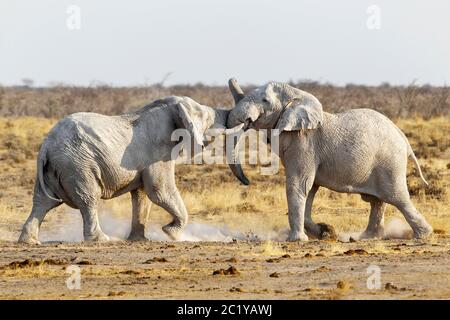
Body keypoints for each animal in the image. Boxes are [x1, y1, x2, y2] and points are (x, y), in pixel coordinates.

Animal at [18, 96, 241, 244]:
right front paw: (171, 233)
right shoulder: (158, 151)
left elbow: (142, 195)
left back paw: (30, 241)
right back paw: (103, 240)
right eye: (206, 118)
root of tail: (46, 146)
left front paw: (139, 240)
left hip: (54, 169)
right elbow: (159, 191)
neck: (170, 106)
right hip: (77, 165)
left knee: (43, 202)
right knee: (88, 199)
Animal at [227, 79, 434, 241]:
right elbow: (309, 189)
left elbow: (299, 185)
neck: (297, 95)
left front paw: (298, 240)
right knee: (378, 201)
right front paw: (325, 232)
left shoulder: (304, 143)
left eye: (265, 100)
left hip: (390, 162)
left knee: (397, 197)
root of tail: (402, 135)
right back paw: (366, 237)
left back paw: (423, 235)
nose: (247, 181)